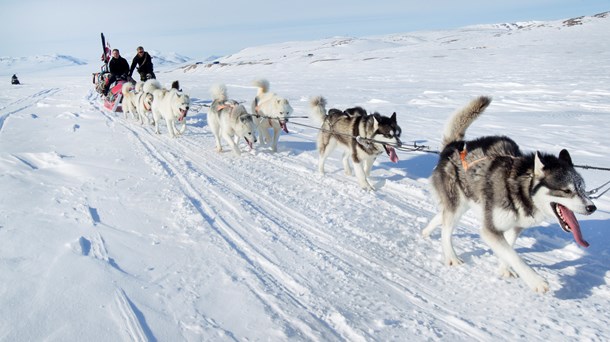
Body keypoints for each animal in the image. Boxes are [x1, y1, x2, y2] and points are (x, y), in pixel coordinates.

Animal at [420, 95, 596, 292]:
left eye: (582, 188)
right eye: (566, 190)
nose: (592, 207)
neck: (520, 189)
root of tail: (453, 147)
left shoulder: (514, 227)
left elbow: (508, 249)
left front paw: (504, 269)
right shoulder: (490, 229)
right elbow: (514, 255)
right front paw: (536, 281)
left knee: (441, 217)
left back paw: (426, 231)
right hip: (457, 205)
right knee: (446, 230)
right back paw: (451, 257)